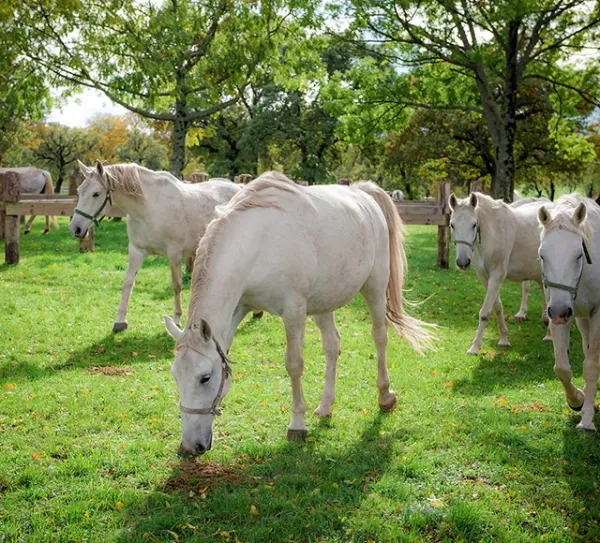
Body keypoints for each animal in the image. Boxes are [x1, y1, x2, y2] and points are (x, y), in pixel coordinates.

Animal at [69, 159, 239, 334]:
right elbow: (128, 282)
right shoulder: (136, 250)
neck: (149, 208)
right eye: (80, 191)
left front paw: (177, 318)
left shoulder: (174, 254)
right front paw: (120, 321)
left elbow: (176, 285)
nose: (75, 228)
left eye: (96, 193)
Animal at [164, 172, 434, 456]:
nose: (190, 446)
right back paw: (326, 407)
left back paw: (385, 397)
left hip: (375, 288)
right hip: (324, 304)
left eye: (205, 377)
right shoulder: (240, 307)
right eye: (176, 375)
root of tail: (363, 193)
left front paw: (296, 424)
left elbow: (294, 365)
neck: (258, 243)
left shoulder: (293, 312)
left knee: (380, 337)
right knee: (332, 346)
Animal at [448, 192, 552, 356]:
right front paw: (504, 338)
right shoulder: (485, 277)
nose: (463, 263)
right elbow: (497, 307)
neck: (493, 233)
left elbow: (485, 312)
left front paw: (475, 347)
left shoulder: (497, 276)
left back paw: (549, 334)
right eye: (452, 225)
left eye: (474, 225)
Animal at [536, 196, 596, 430]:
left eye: (579, 254)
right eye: (542, 255)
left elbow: (591, 365)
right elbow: (562, 368)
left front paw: (587, 420)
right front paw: (577, 400)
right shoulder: (558, 312)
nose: (561, 311)